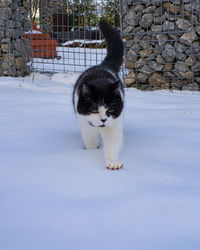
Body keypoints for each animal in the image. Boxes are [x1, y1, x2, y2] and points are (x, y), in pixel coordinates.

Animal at [72, 20, 124, 170]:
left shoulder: (114, 124)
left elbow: (113, 141)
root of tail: (104, 65)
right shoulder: (85, 125)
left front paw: (113, 162)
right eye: (94, 109)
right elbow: (90, 143)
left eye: (110, 110)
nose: (103, 120)